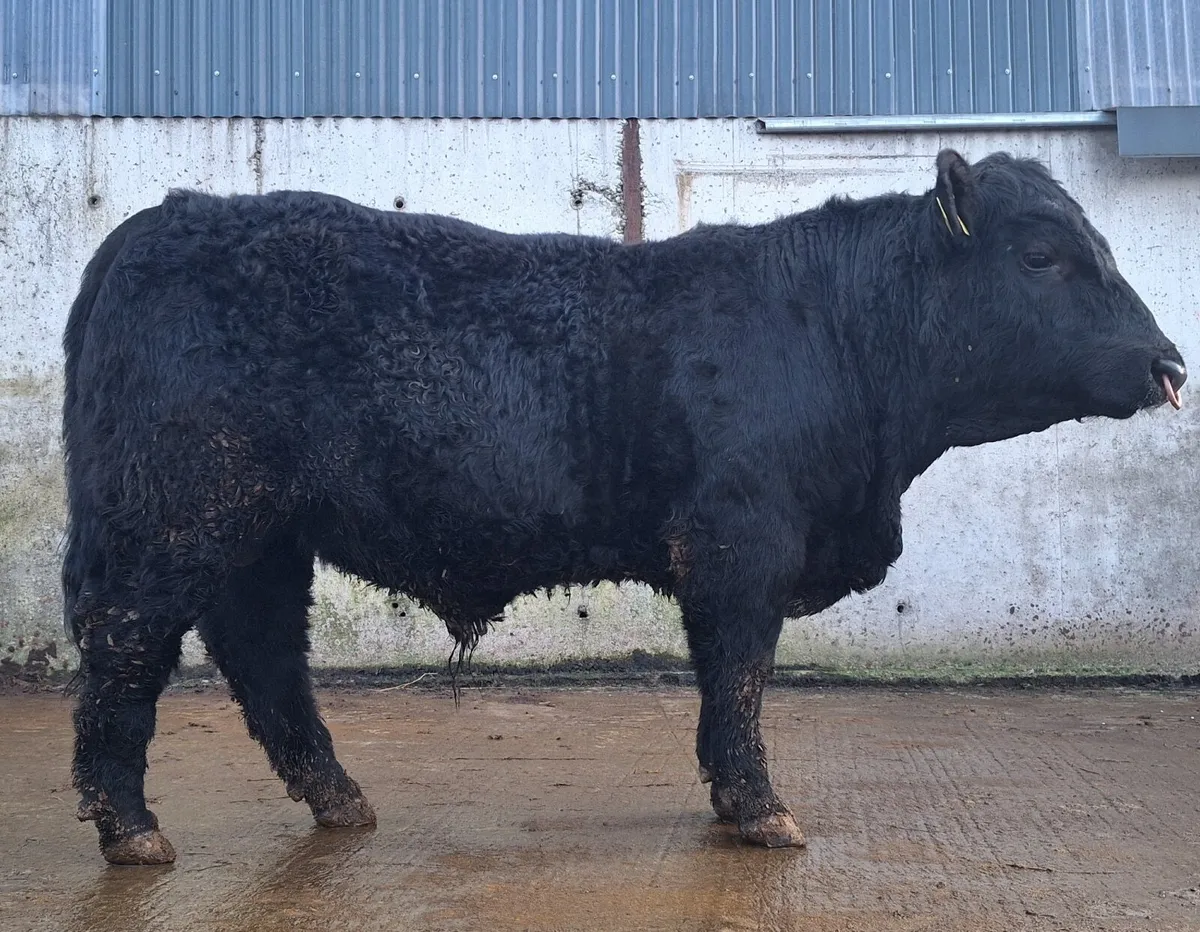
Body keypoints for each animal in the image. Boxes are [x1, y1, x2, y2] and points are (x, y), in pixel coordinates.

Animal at [62, 149, 1185, 864]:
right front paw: (759, 810)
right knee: (127, 646)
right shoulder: (739, 543)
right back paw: (131, 830)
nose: (1170, 364)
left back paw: (339, 800)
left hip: (262, 532)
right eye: (1042, 255)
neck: (838, 330)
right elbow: (739, 678)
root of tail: (173, 214)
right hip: (173, 516)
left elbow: (728, 683)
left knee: (261, 654)